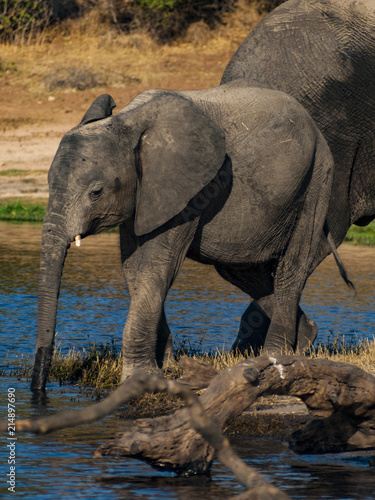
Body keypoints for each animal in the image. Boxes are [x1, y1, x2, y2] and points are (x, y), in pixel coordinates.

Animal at [32, 83, 336, 390]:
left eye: (96, 192)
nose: (38, 388)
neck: (127, 123)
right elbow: (134, 269)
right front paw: (167, 367)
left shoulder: (187, 192)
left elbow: (156, 267)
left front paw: (139, 380)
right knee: (242, 270)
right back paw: (304, 340)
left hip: (317, 178)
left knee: (292, 268)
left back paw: (277, 357)